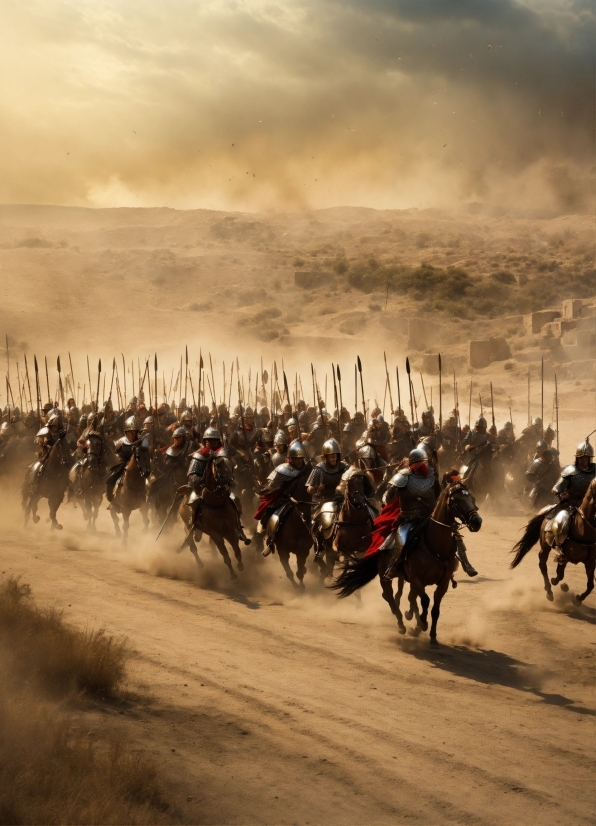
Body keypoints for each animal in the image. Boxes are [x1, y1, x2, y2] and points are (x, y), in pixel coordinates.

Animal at [180, 450, 248, 580]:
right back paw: (200, 564)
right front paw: (233, 576)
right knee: (192, 547)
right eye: (218, 465)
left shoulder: (230, 531)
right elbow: (226, 556)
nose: (231, 482)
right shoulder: (216, 535)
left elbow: (237, 551)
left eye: (230, 464)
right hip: (187, 527)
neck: (217, 504)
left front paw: (240, 566)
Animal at [332, 482, 482, 644]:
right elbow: (425, 600)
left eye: (471, 498)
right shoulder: (417, 580)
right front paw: (422, 623)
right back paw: (401, 625)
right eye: (456, 500)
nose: (477, 522)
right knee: (389, 596)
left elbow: (435, 609)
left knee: (405, 597)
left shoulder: (443, 583)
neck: (435, 544)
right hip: (385, 576)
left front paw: (432, 636)